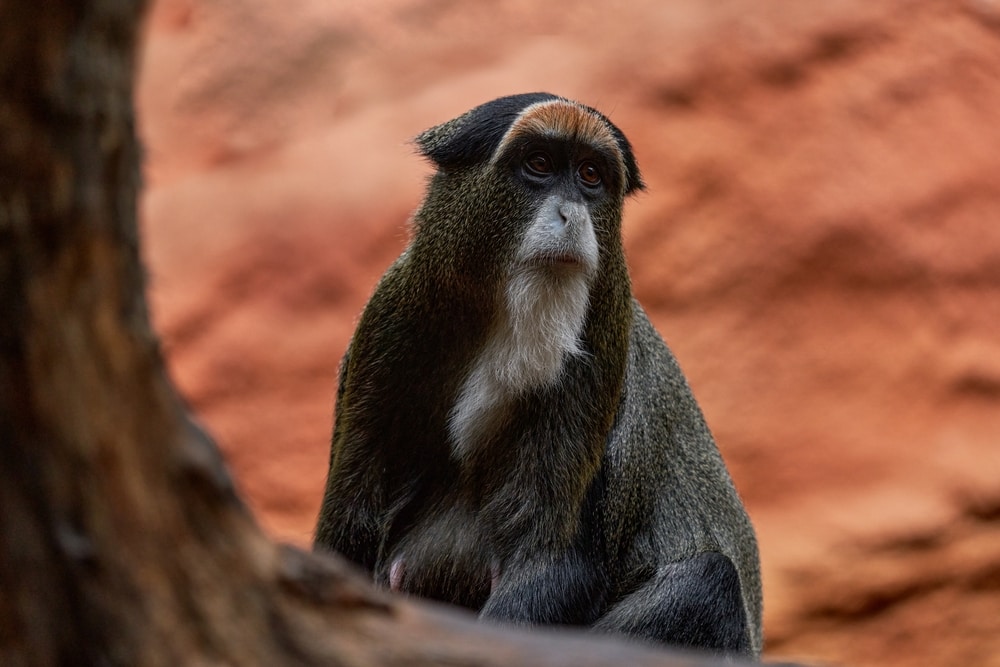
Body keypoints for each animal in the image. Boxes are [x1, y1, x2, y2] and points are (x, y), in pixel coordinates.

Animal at [314, 92, 762, 658]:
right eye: (540, 165)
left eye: (590, 175)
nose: (571, 214)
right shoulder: (389, 319)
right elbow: (348, 526)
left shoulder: (602, 342)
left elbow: (555, 563)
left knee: (709, 583)